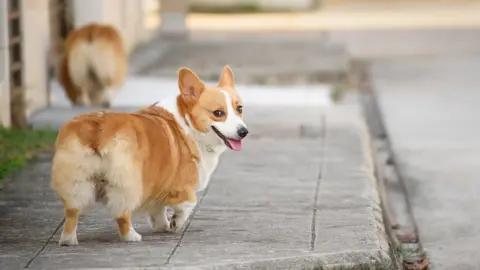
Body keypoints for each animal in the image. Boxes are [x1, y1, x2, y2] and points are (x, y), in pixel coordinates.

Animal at [50, 65, 249, 245]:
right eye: (218, 113)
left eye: (239, 108)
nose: (243, 132)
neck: (187, 122)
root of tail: (97, 128)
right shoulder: (180, 186)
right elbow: (188, 203)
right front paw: (176, 223)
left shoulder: (158, 185)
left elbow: (158, 210)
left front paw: (162, 226)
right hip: (126, 183)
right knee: (122, 213)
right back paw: (131, 236)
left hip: (76, 181)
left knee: (72, 212)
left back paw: (68, 241)